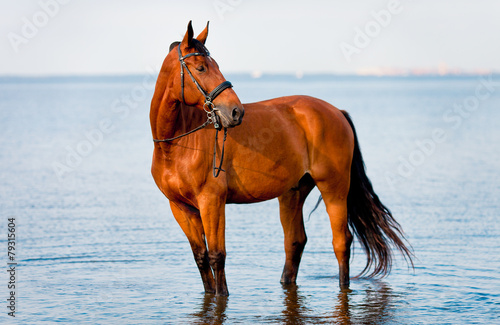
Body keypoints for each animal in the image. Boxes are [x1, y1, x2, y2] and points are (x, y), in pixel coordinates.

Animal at [149, 20, 414, 296]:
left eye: (217, 66)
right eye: (200, 67)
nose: (235, 112)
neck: (178, 144)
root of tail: (336, 111)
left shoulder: (212, 202)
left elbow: (216, 256)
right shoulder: (181, 208)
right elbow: (201, 258)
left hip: (334, 188)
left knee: (341, 241)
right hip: (293, 192)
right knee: (295, 242)